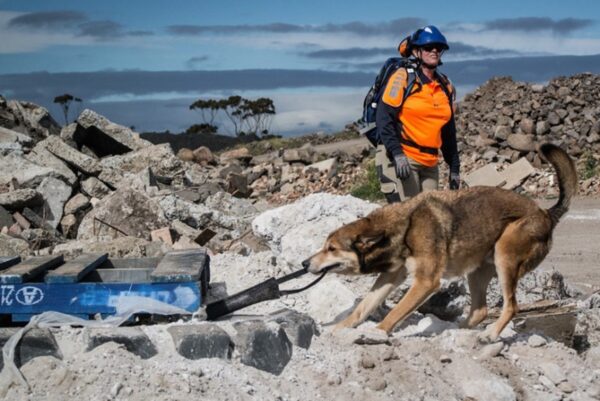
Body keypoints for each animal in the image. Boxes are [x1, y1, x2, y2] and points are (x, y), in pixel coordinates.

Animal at [304, 142, 576, 340]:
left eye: (331, 248)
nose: (305, 263)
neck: (405, 227)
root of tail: (546, 213)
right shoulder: (391, 276)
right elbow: (364, 306)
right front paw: (340, 329)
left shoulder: (425, 282)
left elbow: (396, 311)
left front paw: (377, 332)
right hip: (478, 271)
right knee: (480, 311)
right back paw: (451, 331)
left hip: (505, 256)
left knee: (511, 307)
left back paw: (489, 336)